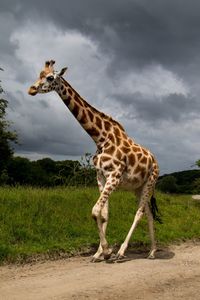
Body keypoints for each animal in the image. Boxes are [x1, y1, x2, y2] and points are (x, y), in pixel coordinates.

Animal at [28, 59, 160, 262]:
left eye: (49, 77)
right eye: (39, 74)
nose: (32, 89)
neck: (100, 138)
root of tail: (155, 161)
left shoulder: (114, 175)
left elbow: (95, 210)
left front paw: (107, 250)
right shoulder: (101, 176)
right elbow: (103, 213)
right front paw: (99, 253)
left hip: (150, 182)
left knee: (139, 213)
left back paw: (122, 252)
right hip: (138, 187)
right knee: (149, 213)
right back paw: (152, 252)